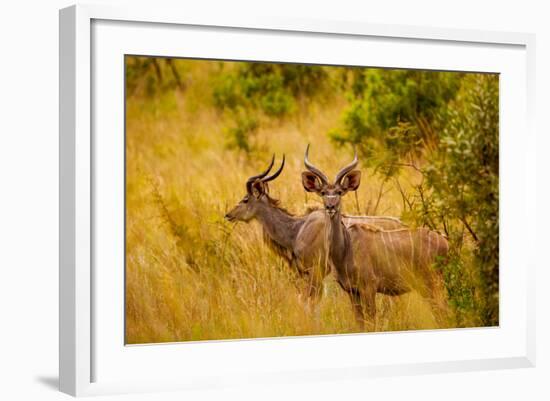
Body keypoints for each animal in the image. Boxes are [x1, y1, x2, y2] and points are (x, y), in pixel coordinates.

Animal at [302, 146, 452, 328]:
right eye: (323, 192)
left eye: (339, 192)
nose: (331, 206)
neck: (345, 250)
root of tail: (445, 242)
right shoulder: (353, 291)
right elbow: (360, 322)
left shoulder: (369, 288)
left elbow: (371, 321)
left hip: (433, 284)